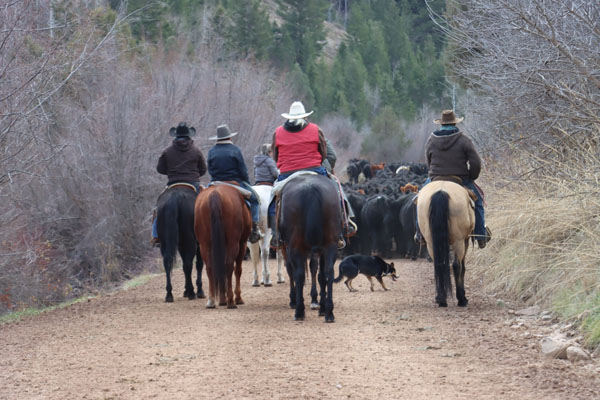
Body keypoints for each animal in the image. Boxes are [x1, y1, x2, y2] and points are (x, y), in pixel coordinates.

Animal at [278, 174, 342, 322]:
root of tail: (310, 188)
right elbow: (320, 274)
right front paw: (322, 307)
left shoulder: (288, 248)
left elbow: (292, 271)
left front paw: (294, 300)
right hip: (330, 245)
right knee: (328, 272)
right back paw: (329, 311)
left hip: (294, 247)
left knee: (299, 274)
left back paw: (299, 310)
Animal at [414, 180, 476, 308]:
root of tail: (441, 191)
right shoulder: (465, 240)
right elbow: (463, 267)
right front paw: (463, 296)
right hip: (459, 241)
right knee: (457, 265)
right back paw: (461, 299)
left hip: (431, 242)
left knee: (439, 265)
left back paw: (441, 298)